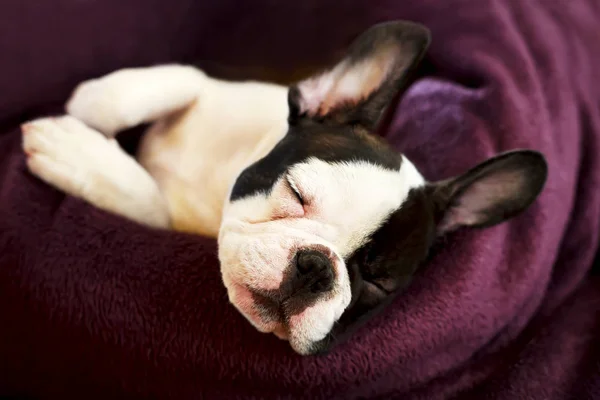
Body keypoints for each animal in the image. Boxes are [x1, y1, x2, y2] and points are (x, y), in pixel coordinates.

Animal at [21, 20, 548, 354]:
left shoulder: (171, 220)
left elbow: (152, 203)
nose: (316, 269)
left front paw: (74, 153)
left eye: (378, 284)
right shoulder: (214, 82)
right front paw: (84, 110)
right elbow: (160, 83)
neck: (222, 177)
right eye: (295, 193)